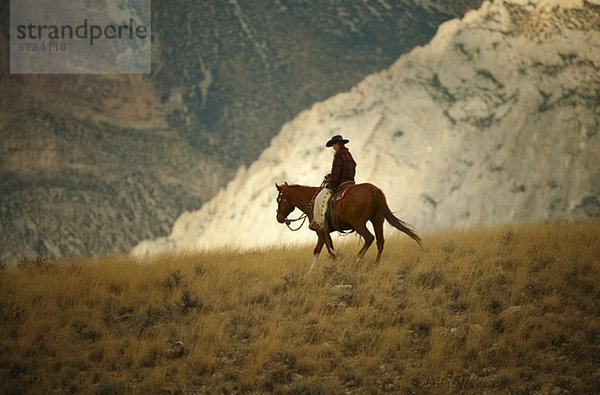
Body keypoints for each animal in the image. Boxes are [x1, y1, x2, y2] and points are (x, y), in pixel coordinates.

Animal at [276, 183, 422, 272]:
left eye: (278, 199)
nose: (279, 218)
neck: (311, 201)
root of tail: (373, 189)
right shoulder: (322, 232)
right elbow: (318, 250)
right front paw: (310, 272)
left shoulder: (321, 231)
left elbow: (329, 250)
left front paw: (333, 267)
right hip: (377, 221)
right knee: (380, 241)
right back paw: (375, 265)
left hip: (359, 223)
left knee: (369, 238)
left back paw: (357, 261)